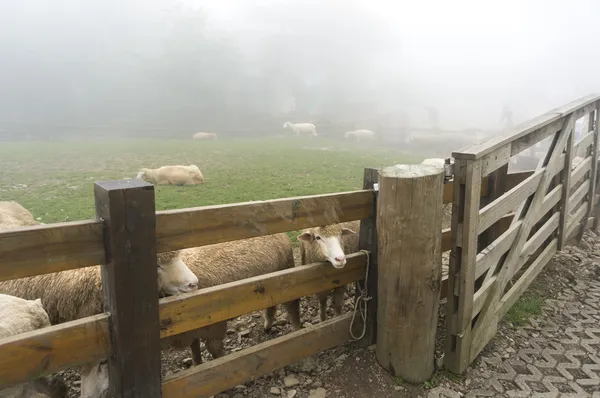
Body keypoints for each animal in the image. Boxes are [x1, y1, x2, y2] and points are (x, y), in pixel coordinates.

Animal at [159, 233, 302, 366]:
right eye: (158, 266)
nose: (193, 284)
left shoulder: (213, 326)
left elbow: (215, 351)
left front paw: (219, 365)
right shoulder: (192, 329)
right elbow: (195, 351)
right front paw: (197, 365)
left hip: (286, 273)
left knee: (292, 305)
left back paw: (297, 330)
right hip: (270, 284)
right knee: (271, 304)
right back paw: (268, 325)